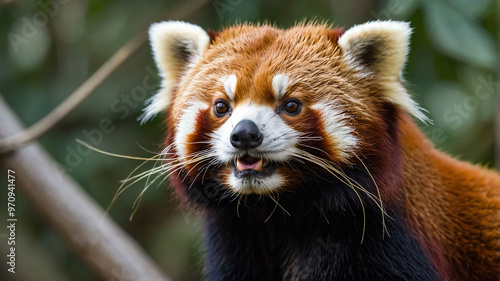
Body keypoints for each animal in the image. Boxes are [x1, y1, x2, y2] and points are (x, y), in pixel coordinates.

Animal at [141, 20, 500, 278]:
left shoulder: (383, 238)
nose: (244, 135)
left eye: (291, 105)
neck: (280, 210)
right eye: (221, 106)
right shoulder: (236, 239)